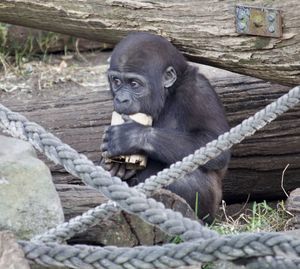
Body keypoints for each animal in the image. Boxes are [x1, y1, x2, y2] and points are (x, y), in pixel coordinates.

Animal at [101, 31, 230, 222]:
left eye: (134, 84)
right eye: (116, 81)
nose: (121, 99)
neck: (167, 94)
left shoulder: (199, 91)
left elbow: (214, 143)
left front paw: (132, 137)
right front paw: (113, 168)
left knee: (185, 180)